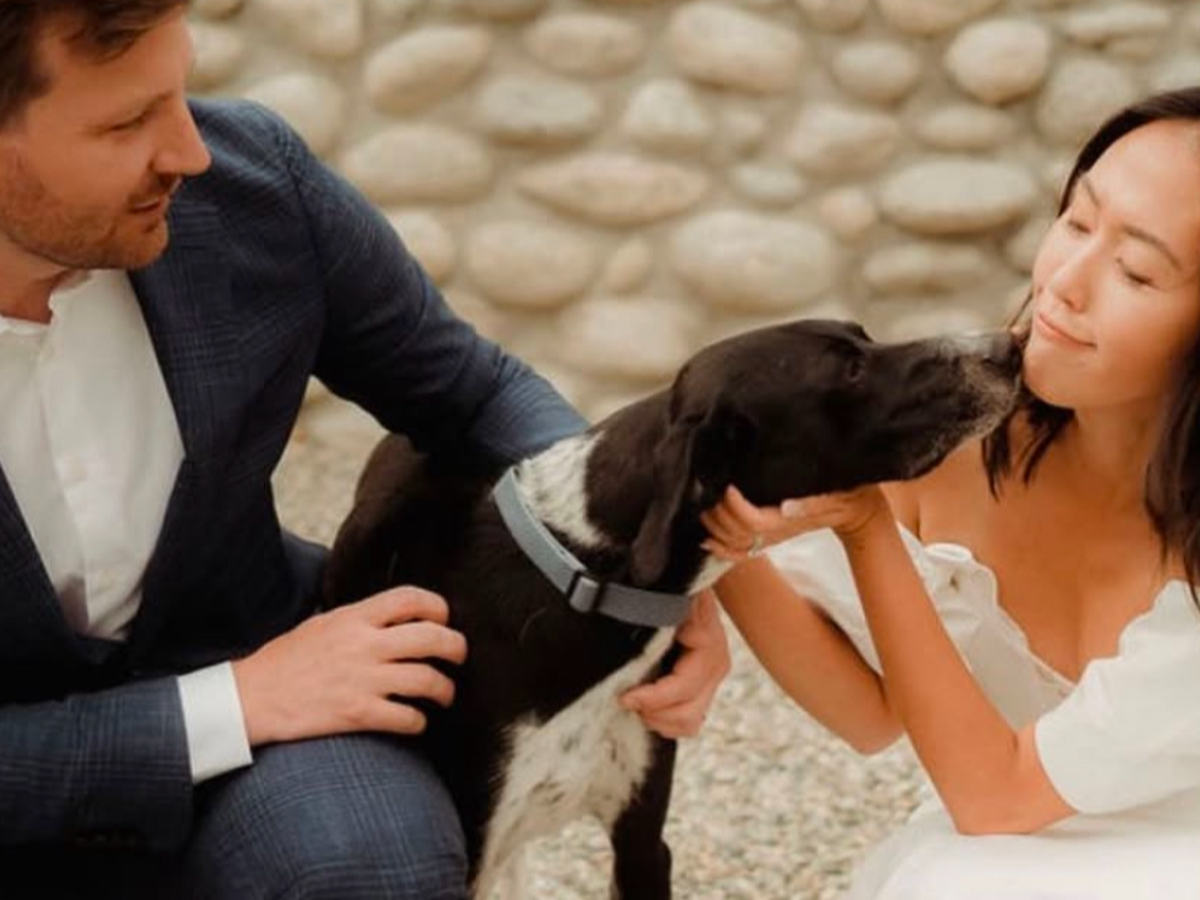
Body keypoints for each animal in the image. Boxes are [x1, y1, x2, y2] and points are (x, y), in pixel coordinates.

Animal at [323, 319, 1022, 899]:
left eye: (865, 337)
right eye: (848, 370)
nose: (1006, 348)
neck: (585, 579)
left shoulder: (641, 843)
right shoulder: (475, 838)